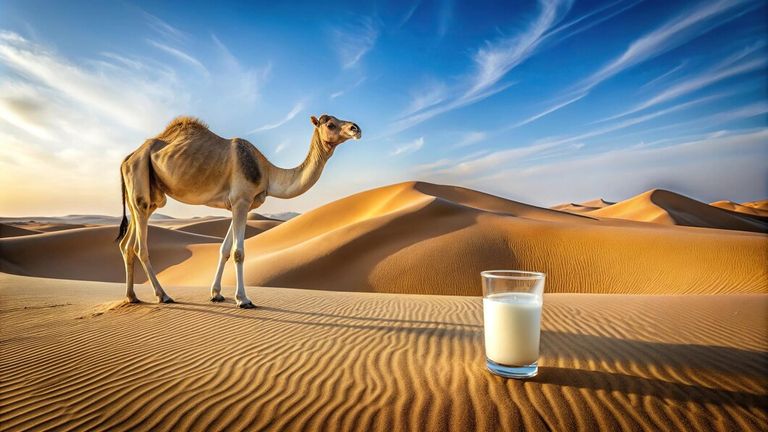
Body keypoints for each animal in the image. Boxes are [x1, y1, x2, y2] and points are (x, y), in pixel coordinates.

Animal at [115, 113, 362, 306]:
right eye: (330, 124)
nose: (356, 128)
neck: (268, 172)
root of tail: (127, 158)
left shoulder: (238, 204)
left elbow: (224, 250)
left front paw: (216, 294)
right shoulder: (241, 200)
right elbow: (238, 252)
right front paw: (243, 299)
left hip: (145, 197)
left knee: (126, 245)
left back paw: (132, 297)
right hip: (141, 186)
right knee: (140, 247)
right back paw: (163, 295)